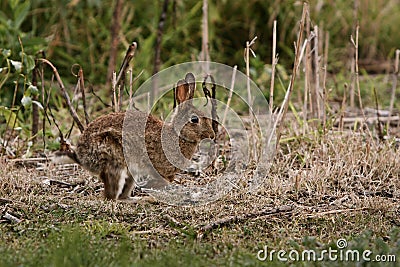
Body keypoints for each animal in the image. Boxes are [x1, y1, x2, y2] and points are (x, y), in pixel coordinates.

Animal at [56, 73, 216, 201]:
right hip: (114, 159)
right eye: (194, 120)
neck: (178, 134)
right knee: (111, 197)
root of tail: (82, 156)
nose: (212, 135)